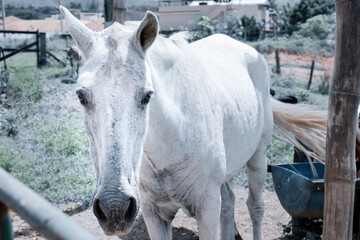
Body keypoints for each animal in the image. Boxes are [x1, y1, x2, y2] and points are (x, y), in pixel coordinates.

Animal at [60, 6, 328, 239]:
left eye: (147, 96)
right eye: (81, 96)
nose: (114, 207)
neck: (171, 142)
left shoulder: (206, 207)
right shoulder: (153, 213)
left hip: (258, 159)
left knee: (255, 207)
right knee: (229, 204)